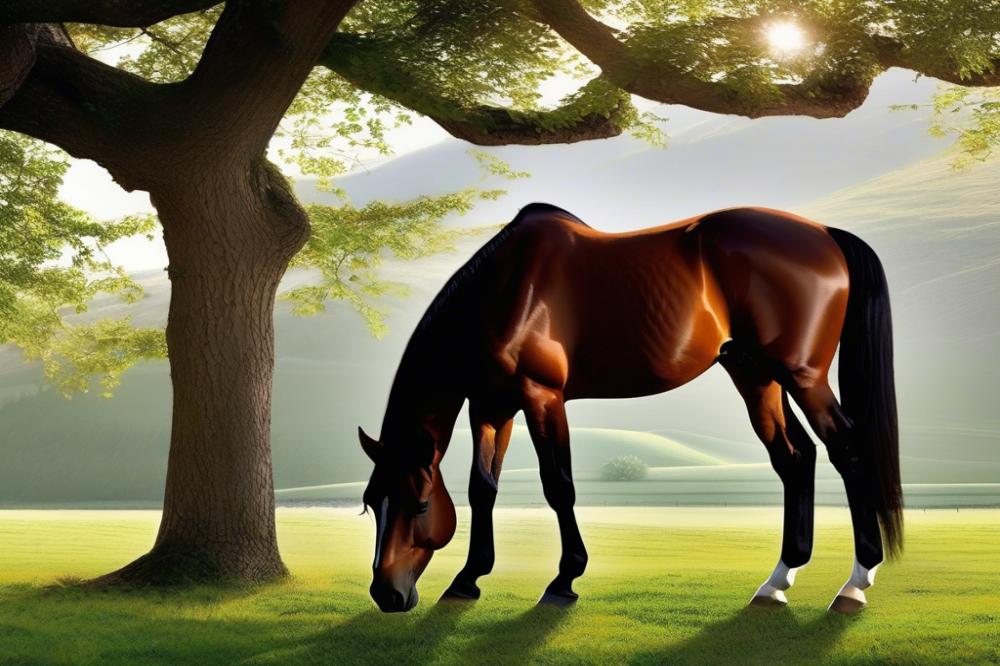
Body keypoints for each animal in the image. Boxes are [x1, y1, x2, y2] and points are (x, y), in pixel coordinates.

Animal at [358, 203, 901, 614]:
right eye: (370, 504)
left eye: (419, 504)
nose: (387, 594)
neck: (503, 292)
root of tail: (825, 235)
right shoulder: (492, 407)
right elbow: (483, 490)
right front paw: (468, 579)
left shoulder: (542, 397)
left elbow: (558, 486)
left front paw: (564, 581)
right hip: (755, 373)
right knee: (795, 457)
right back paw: (777, 582)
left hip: (802, 375)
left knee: (845, 448)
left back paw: (855, 584)